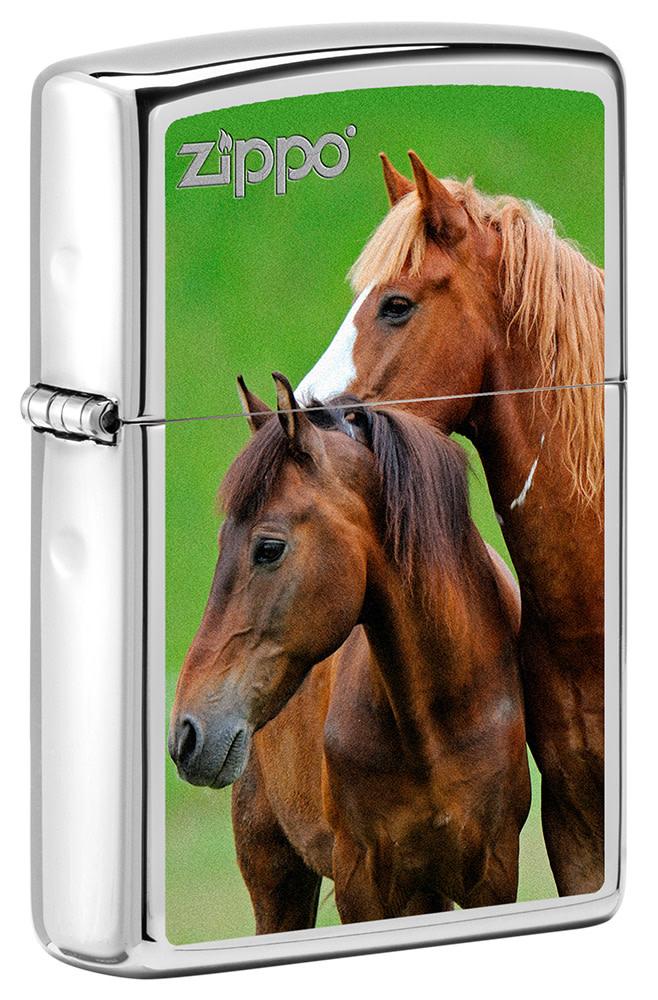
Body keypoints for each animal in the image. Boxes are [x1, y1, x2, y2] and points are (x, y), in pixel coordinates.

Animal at [169, 373, 530, 931]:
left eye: (268, 548)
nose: (187, 734)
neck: (435, 724)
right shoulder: (364, 888)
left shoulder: (491, 875)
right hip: (276, 879)